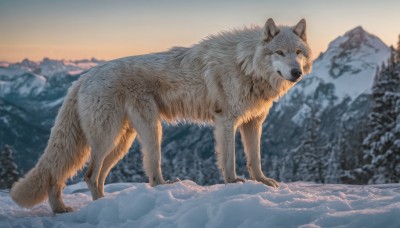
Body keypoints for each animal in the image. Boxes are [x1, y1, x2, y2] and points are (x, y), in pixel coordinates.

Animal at [10, 18, 312, 213]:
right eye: (279, 52)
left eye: (298, 52)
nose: (296, 72)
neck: (245, 64)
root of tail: (82, 78)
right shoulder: (226, 121)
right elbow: (229, 161)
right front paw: (233, 184)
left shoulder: (253, 123)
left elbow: (255, 160)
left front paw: (263, 183)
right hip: (130, 134)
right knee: (94, 174)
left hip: (124, 141)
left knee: (75, 175)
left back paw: (76, 208)